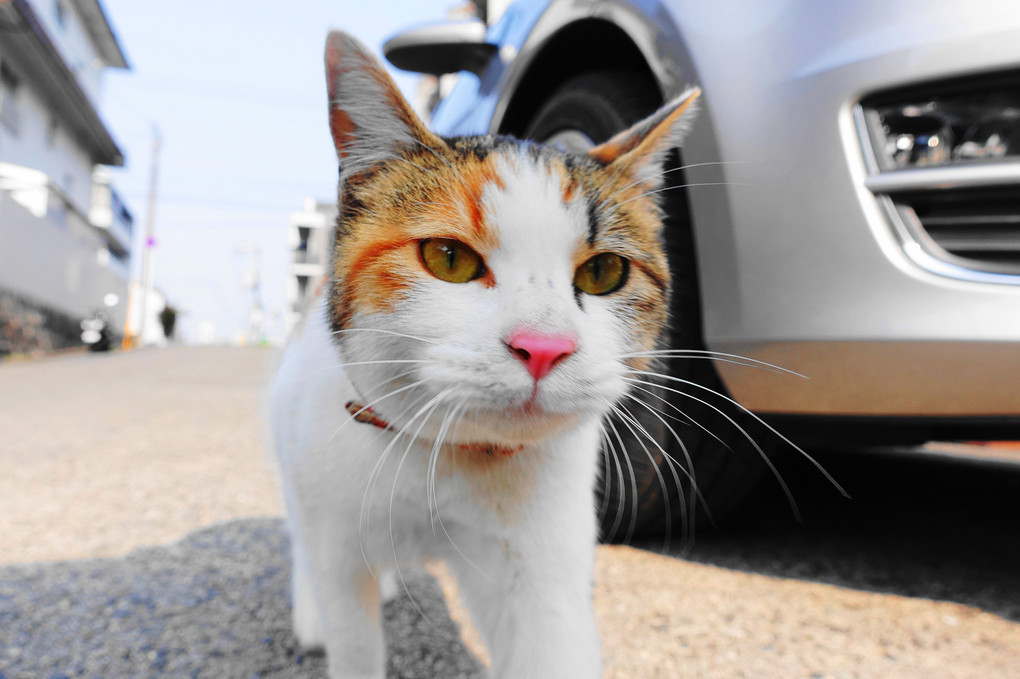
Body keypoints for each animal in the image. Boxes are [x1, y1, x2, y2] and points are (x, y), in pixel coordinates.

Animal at [269, 31, 701, 676]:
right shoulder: (337, 534)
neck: (441, 458)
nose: (544, 347)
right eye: (449, 258)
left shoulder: (542, 569)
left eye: (604, 272)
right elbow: (352, 633)